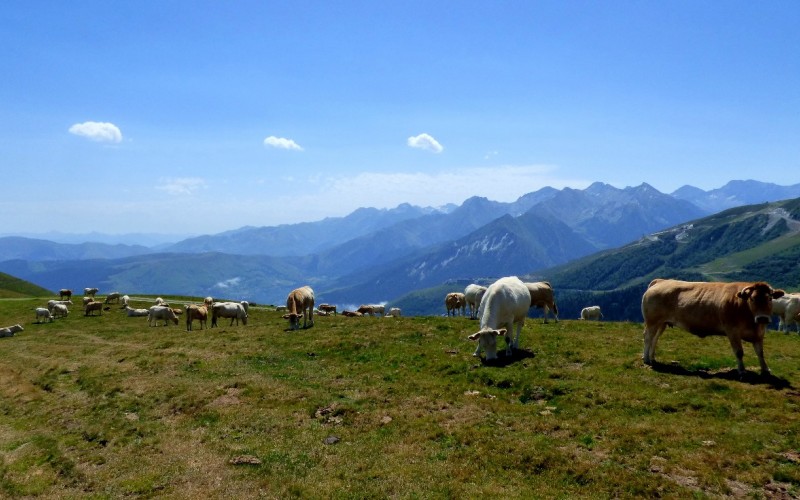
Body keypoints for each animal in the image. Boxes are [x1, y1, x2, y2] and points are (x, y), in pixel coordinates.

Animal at [640, 278, 784, 376]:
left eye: (770, 298)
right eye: (752, 299)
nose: (762, 318)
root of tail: (661, 281)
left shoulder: (759, 334)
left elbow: (760, 353)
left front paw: (766, 369)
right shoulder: (732, 331)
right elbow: (739, 352)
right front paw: (742, 371)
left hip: (662, 323)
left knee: (655, 338)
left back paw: (652, 358)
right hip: (652, 321)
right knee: (648, 337)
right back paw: (646, 359)